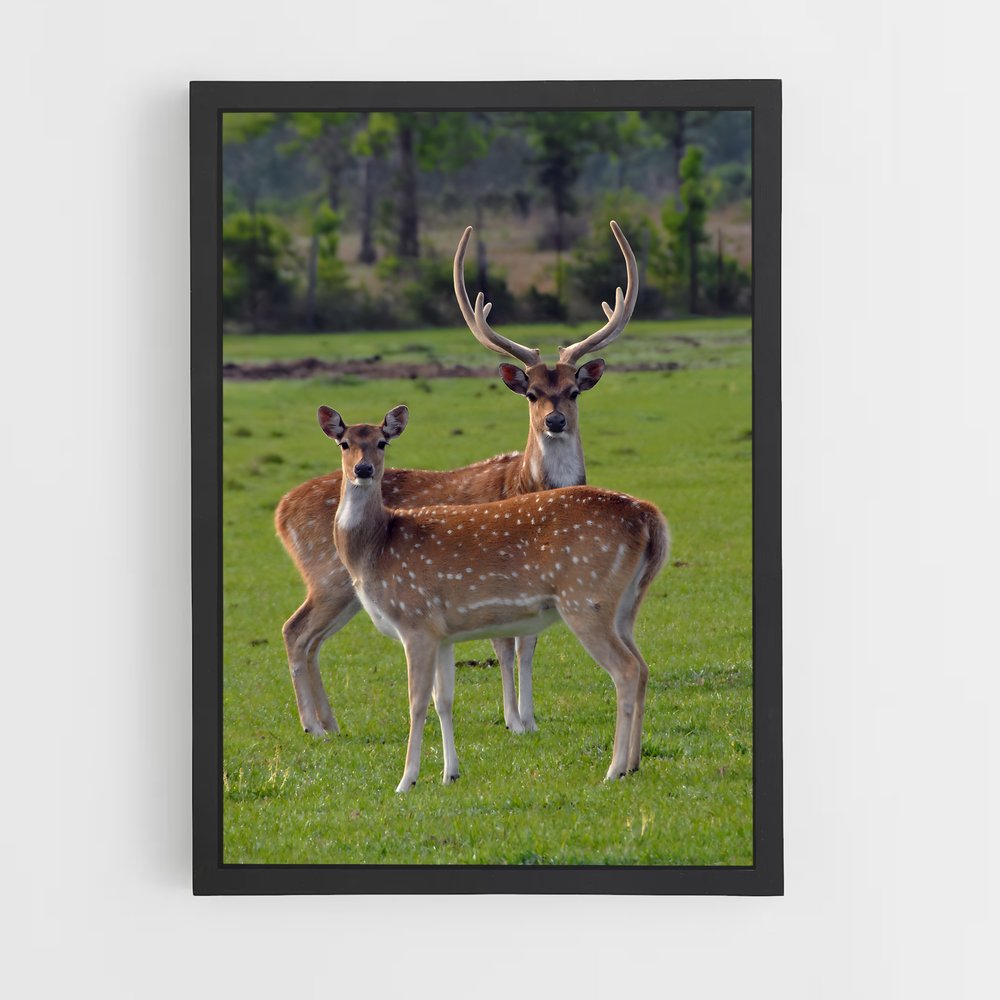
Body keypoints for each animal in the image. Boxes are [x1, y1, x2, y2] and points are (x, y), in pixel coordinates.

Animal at [275, 221, 637, 738]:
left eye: (573, 391)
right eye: (531, 392)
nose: (555, 421)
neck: (525, 484)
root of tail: (281, 511)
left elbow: (528, 642)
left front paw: (529, 718)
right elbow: (506, 644)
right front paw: (514, 720)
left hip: (345, 589)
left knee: (310, 637)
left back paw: (330, 723)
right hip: (327, 576)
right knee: (295, 630)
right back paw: (315, 726)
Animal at [319, 404, 669, 791]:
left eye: (382, 442)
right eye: (344, 443)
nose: (363, 470)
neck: (375, 549)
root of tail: (650, 516)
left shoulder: (415, 621)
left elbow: (416, 703)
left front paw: (406, 781)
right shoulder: (442, 634)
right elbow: (444, 700)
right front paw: (449, 773)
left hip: (585, 597)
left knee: (626, 669)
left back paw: (614, 769)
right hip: (624, 605)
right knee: (643, 666)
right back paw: (634, 763)